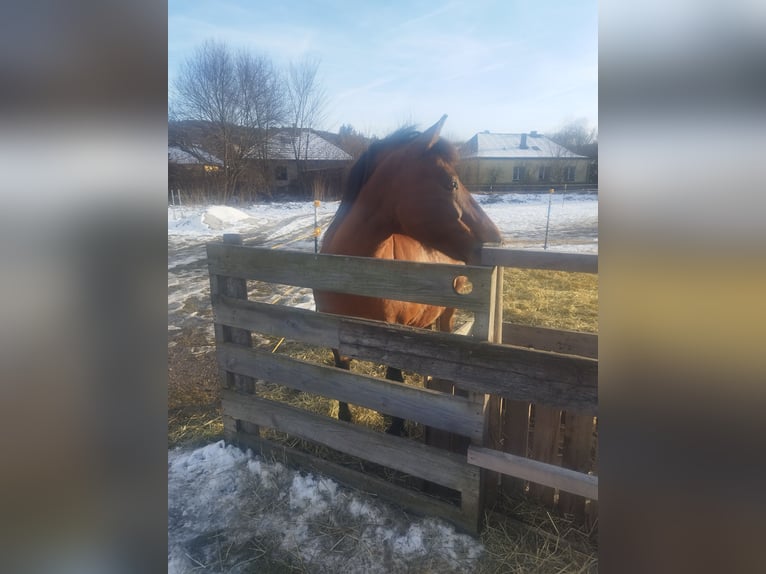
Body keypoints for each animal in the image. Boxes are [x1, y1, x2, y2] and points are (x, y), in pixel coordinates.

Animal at [313, 115, 502, 435]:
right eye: (452, 183)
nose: (496, 239)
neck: (352, 274)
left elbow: (394, 380)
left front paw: (396, 428)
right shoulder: (333, 333)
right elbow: (342, 373)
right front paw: (345, 419)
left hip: (447, 313)